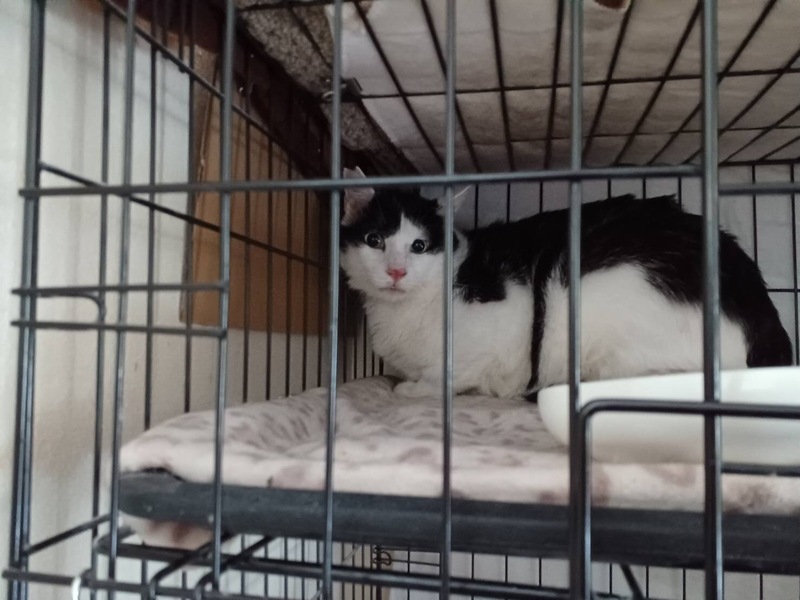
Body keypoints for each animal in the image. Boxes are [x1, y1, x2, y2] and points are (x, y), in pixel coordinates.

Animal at [339, 166, 793, 399]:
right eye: (375, 240)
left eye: (419, 246)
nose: (396, 271)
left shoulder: (495, 331)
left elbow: (443, 378)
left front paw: (411, 389)